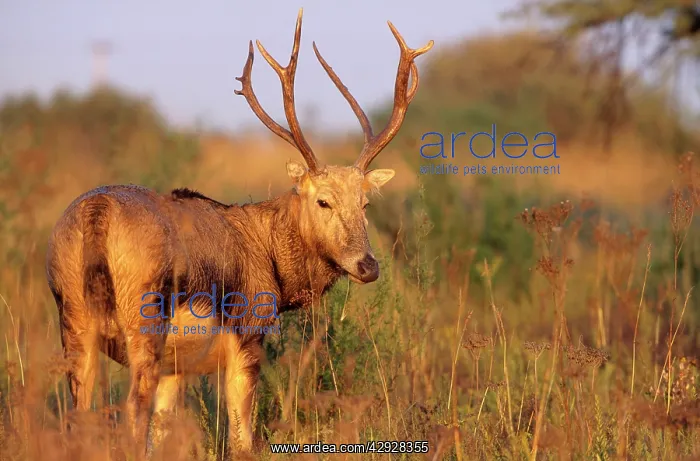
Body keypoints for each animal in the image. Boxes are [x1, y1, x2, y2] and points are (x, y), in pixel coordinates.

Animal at [45, 8, 433, 455]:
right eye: (323, 201)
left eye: (365, 204)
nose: (368, 265)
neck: (271, 259)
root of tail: (99, 212)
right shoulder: (249, 331)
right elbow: (242, 438)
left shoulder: (176, 367)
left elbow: (162, 434)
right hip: (144, 315)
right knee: (130, 412)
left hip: (73, 318)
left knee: (79, 414)